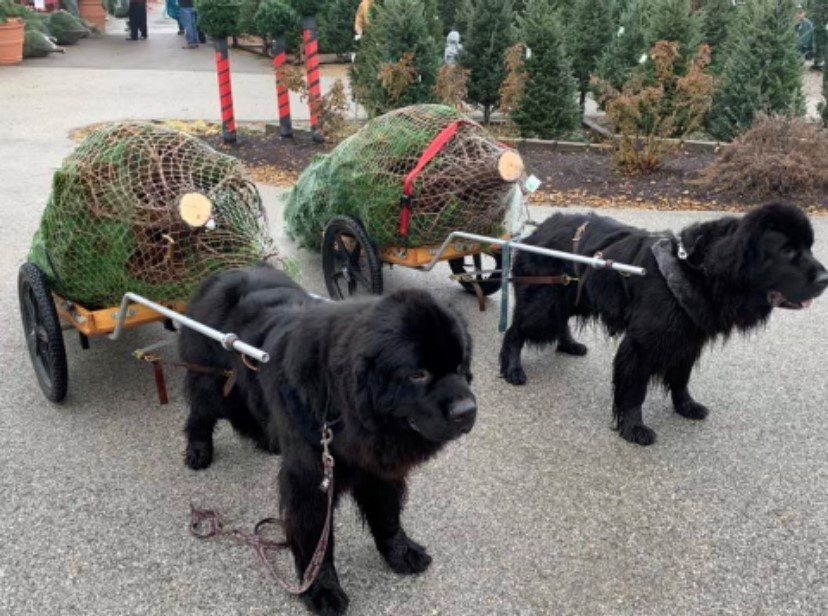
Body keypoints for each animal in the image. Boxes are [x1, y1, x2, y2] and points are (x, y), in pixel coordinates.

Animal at [180, 264, 478, 616]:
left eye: (460, 365)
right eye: (418, 374)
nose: (467, 410)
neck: (340, 410)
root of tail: (220, 274)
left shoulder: (378, 467)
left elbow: (388, 514)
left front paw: (400, 553)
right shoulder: (311, 480)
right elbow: (316, 541)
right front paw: (322, 590)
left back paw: (267, 441)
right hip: (209, 376)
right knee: (202, 411)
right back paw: (198, 451)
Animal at [502, 205, 824, 446]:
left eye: (809, 247)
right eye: (787, 251)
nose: (825, 278)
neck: (696, 270)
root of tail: (536, 230)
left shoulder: (688, 340)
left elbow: (681, 378)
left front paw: (686, 406)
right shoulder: (641, 344)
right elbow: (634, 389)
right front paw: (634, 428)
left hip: (572, 295)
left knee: (560, 320)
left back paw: (568, 345)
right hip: (543, 303)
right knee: (515, 331)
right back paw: (512, 369)